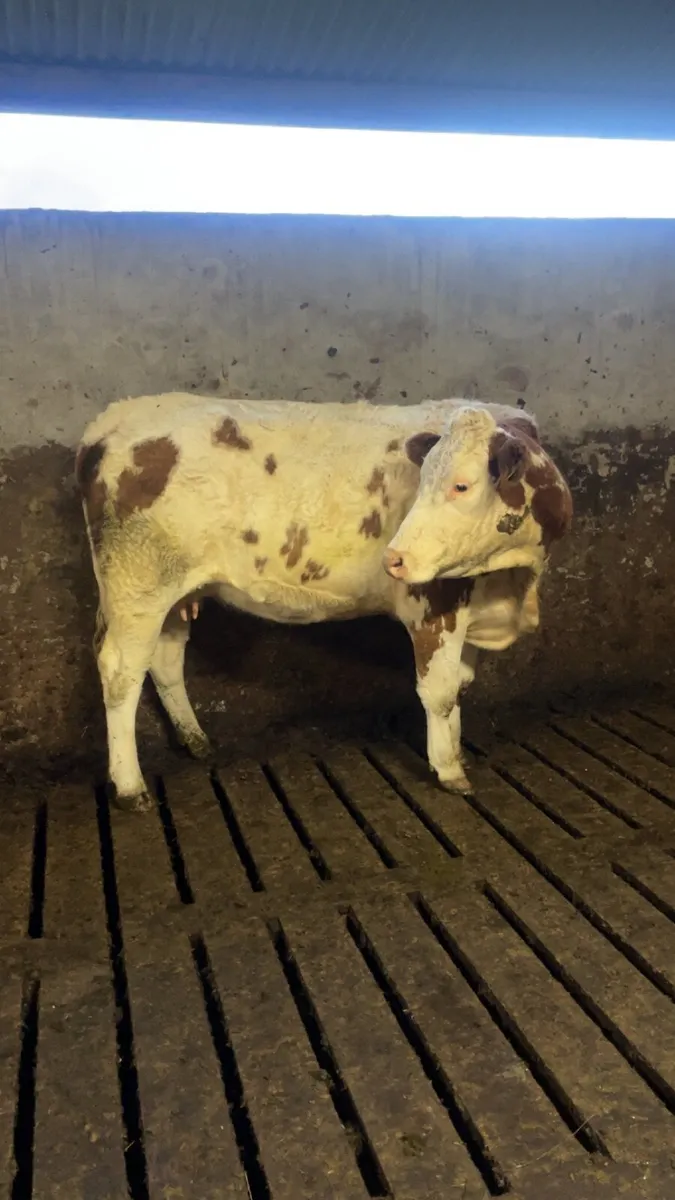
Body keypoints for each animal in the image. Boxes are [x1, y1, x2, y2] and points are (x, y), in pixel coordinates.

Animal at [75, 393, 572, 812]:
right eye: (424, 481)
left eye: (462, 486)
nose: (395, 558)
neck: (513, 584)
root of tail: (112, 420)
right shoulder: (434, 605)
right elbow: (441, 692)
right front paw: (449, 770)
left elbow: (462, 687)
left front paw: (455, 753)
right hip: (137, 584)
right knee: (121, 673)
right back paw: (130, 786)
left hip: (176, 590)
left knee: (164, 659)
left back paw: (195, 739)